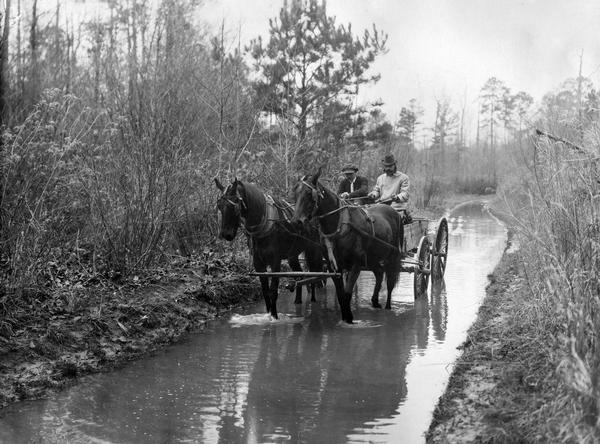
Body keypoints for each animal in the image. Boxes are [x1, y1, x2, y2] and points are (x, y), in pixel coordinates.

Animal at [213, 177, 322, 320]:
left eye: (235, 205)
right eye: (220, 205)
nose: (226, 234)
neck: (265, 225)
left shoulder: (275, 262)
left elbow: (273, 292)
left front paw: (274, 318)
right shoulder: (258, 263)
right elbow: (265, 292)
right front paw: (268, 315)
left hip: (314, 249)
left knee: (315, 275)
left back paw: (314, 300)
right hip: (292, 255)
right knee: (299, 275)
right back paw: (298, 301)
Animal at [292, 170, 406, 322]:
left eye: (309, 194)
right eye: (295, 192)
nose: (296, 221)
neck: (339, 226)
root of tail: (395, 213)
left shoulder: (355, 265)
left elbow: (347, 294)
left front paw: (349, 319)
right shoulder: (334, 267)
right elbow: (340, 295)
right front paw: (344, 318)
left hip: (392, 257)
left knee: (390, 282)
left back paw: (387, 307)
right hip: (372, 258)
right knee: (379, 274)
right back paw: (375, 301)